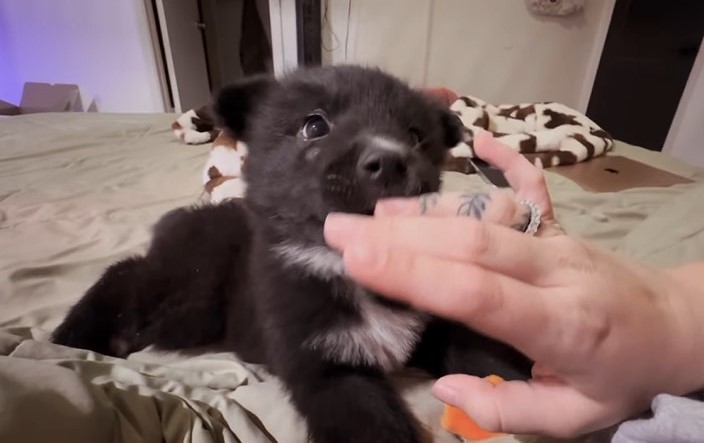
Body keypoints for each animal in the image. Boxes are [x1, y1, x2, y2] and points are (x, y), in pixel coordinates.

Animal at [53, 65, 528, 443]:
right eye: (315, 126)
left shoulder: (426, 323)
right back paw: (75, 332)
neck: (349, 262)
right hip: (191, 295)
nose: (392, 161)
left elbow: (477, 351)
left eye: (415, 136)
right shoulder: (324, 369)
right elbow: (371, 423)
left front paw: (523, 382)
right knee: (130, 272)